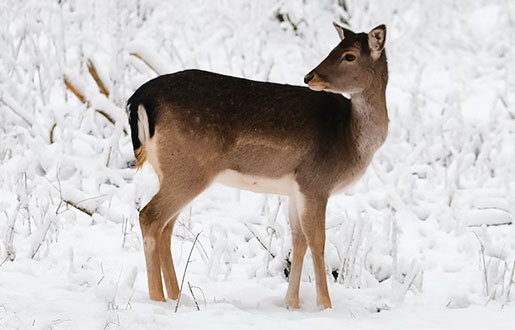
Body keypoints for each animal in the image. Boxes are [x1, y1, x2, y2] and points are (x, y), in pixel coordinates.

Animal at [128, 23, 388, 310]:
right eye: (337, 50)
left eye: (349, 54)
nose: (309, 76)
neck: (350, 140)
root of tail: (140, 98)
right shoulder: (316, 182)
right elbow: (317, 241)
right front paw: (325, 306)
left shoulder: (296, 188)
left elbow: (298, 240)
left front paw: (292, 303)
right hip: (188, 169)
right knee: (150, 216)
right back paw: (157, 298)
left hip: (173, 171)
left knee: (166, 226)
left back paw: (177, 297)